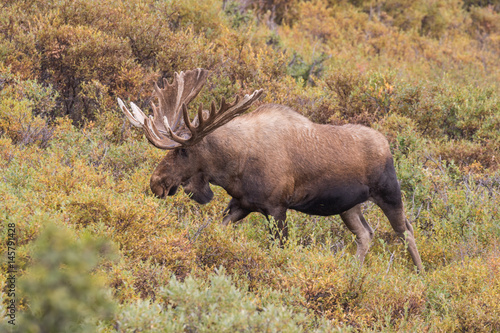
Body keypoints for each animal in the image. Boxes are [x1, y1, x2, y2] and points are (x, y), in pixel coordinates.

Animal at [119, 67, 424, 270]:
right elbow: (211, 230)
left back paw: (420, 273)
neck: (233, 165)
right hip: (349, 206)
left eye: (183, 150)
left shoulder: (277, 207)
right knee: (366, 234)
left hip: (389, 193)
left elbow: (280, 248)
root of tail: (387, 146)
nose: (156, 182)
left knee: (406, 230)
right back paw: (352, 270)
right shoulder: (241, 203)